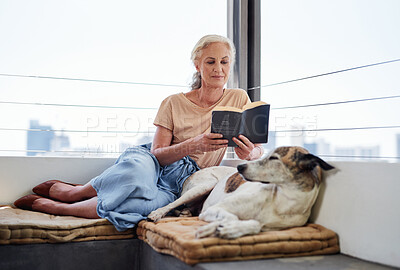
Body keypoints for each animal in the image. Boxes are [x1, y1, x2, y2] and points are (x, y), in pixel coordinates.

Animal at [147, 148, 334, 238]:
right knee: (172, 203)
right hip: (205, 185)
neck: (280, 202)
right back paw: (157, 213)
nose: (240, 167)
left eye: (273, 158)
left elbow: (255, 224)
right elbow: (232, 218)